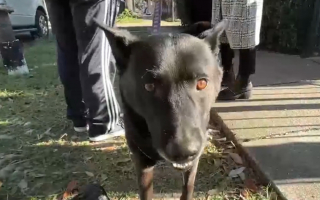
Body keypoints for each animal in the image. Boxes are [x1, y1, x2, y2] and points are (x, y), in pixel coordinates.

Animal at [93, 19, 225, 200]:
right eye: (149, 86)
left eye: (202, 83)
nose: (183, 151)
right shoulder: (142, 163)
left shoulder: (193, 162)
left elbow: (188, 188)